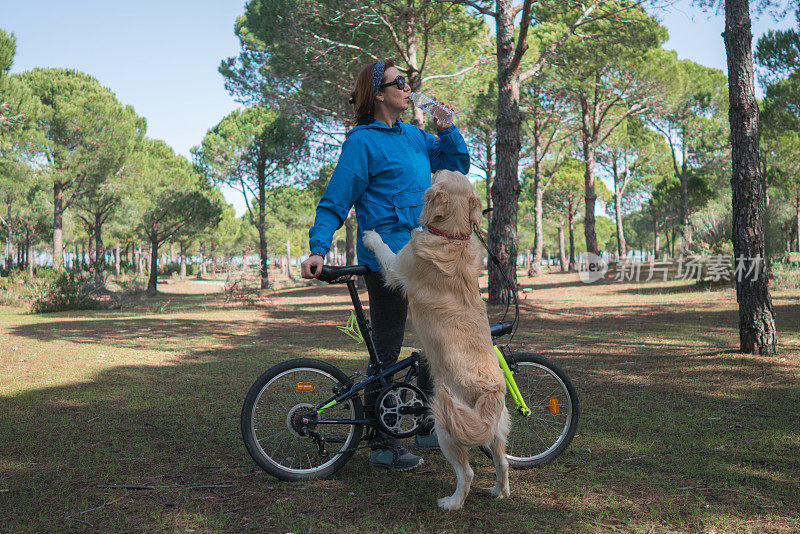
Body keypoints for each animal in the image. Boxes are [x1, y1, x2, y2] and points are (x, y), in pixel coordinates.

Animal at [360, 171, 510, 510]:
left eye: (444, 174)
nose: (435, 168)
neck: (452, 237)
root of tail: (491, 390)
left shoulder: (397, 268)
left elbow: (384, 249)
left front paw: (371, 235)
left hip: (447, 426)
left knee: (467, 473)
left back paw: (451, 503)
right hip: (492, 431)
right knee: (503, 461)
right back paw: (499, 491)